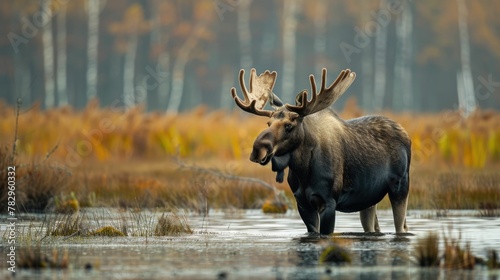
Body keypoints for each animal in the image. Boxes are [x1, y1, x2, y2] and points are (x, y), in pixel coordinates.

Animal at [230, 68, 410, 234]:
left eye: (289, 126)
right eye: (268, 123)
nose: (257, 149)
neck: (303, 170)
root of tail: (405, 133)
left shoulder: (328, 202)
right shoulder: (302, 203)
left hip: (400, 186)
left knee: (401, 226)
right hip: (368, 198)